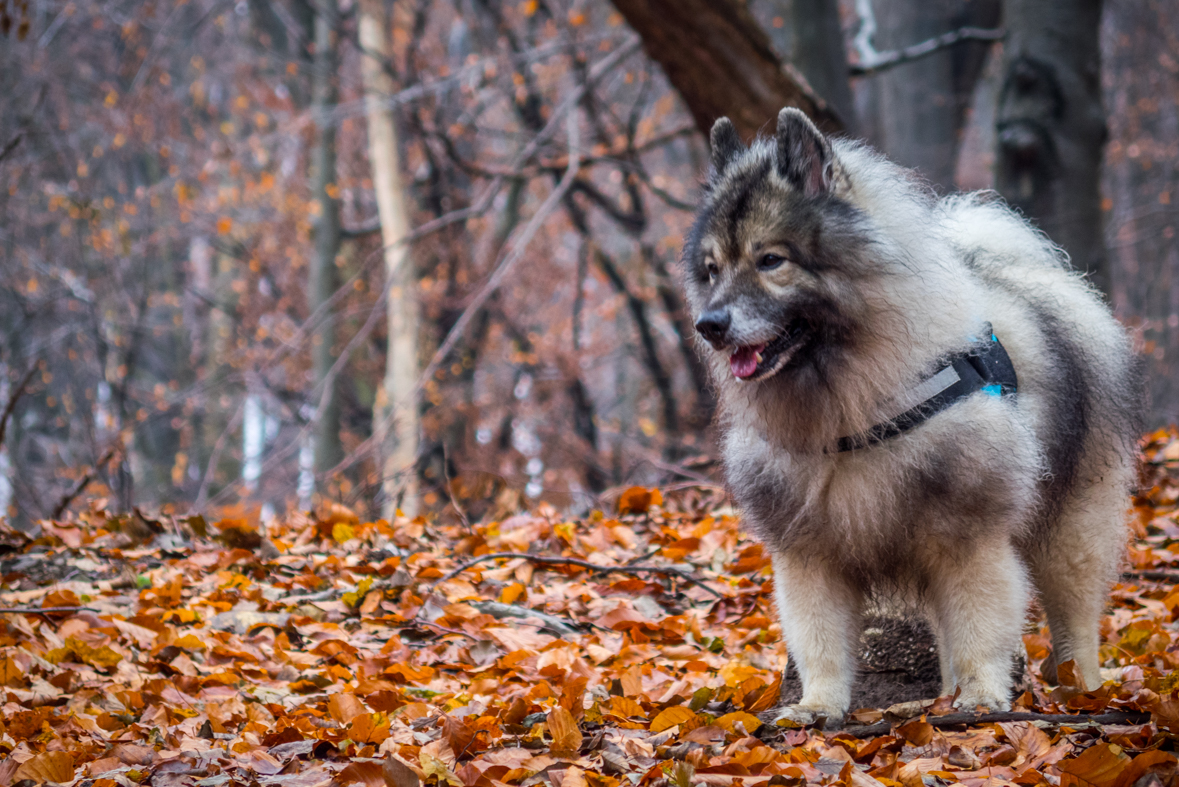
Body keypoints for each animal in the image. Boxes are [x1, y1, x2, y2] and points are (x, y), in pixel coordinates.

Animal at [683, 107, 1141, 730]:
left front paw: (981, 699)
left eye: (771, 260)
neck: (848, 411)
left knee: (1075, 617)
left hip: (1072, 524)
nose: (709, 324)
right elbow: (820, 640)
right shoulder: (809, 554)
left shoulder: (971, 538)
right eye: (712, 270)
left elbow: (980, 627)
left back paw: (1082, 692)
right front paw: (818, 706)